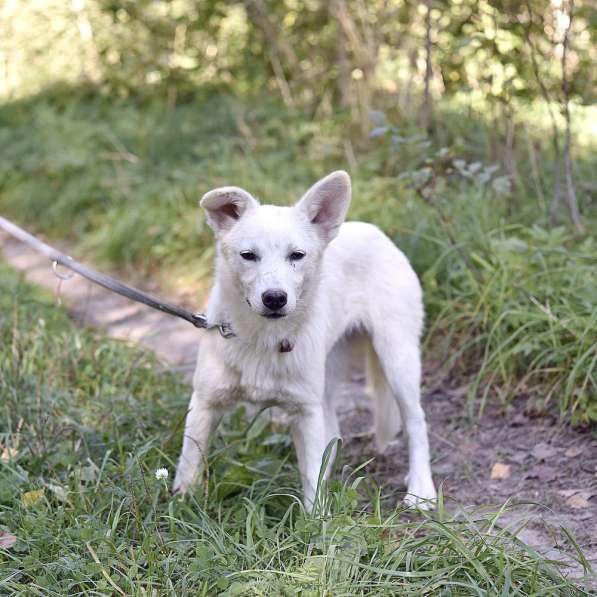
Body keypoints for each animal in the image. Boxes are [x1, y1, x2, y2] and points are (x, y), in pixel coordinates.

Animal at [172, 170, 434, 510]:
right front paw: (180, 505)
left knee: (416, 422)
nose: (274, 298)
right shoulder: (205, 402)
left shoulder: (305, 412)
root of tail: (376, 232)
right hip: (329, 375)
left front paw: (315, 521)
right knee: (333, 430)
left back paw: (421, 490)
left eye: (296, 256)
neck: (264, 337)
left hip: (397, 359)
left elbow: (311, 475)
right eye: (248, 256)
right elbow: (189, 461)